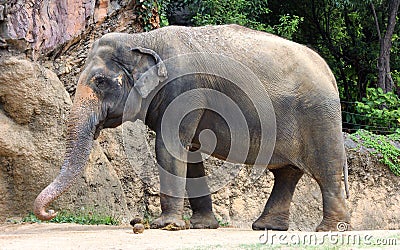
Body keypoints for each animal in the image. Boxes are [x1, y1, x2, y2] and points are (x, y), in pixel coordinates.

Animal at [34, 24, 350, 231]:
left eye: (100, 81)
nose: (51, 212)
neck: (142, 38)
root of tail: (329, 73)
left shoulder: (184, 88)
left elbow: (169, 147)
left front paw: (165, 225)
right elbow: (191, 153)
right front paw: (202, 226)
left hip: (319, 115)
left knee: (325, 169)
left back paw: (330, 230)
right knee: (286, 173)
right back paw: (266, 227)